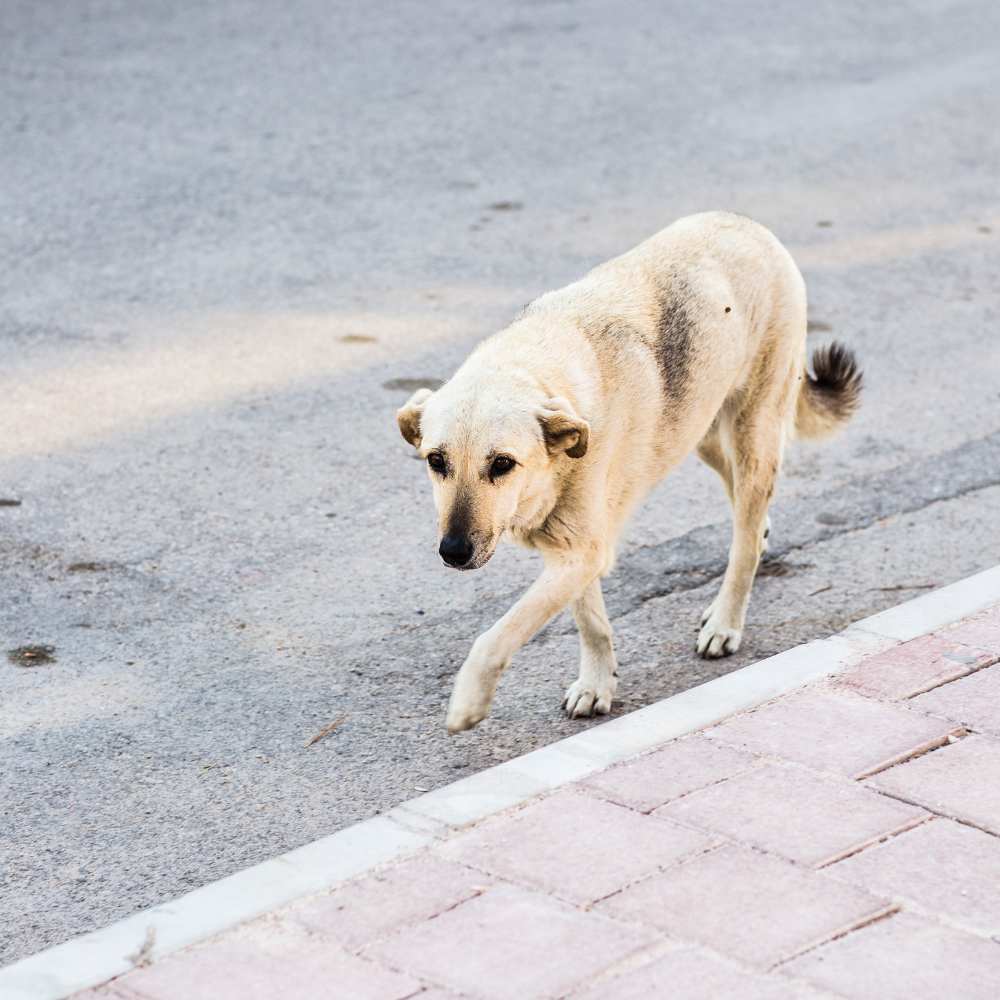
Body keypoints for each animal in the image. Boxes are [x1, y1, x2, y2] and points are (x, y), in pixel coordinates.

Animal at [396, 213, 860, 736]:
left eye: (502, 464)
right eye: (437, 461)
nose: (452, 552)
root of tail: (743, 222)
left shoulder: (582, 550)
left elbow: (499, 633)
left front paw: (468, 701)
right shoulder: (573, 550)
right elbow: (591, 622)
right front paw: (598, 684)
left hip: (752, 430)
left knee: (743, 537)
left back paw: (726, 619)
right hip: (701, 431)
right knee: (745, 506)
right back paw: (758, 538)